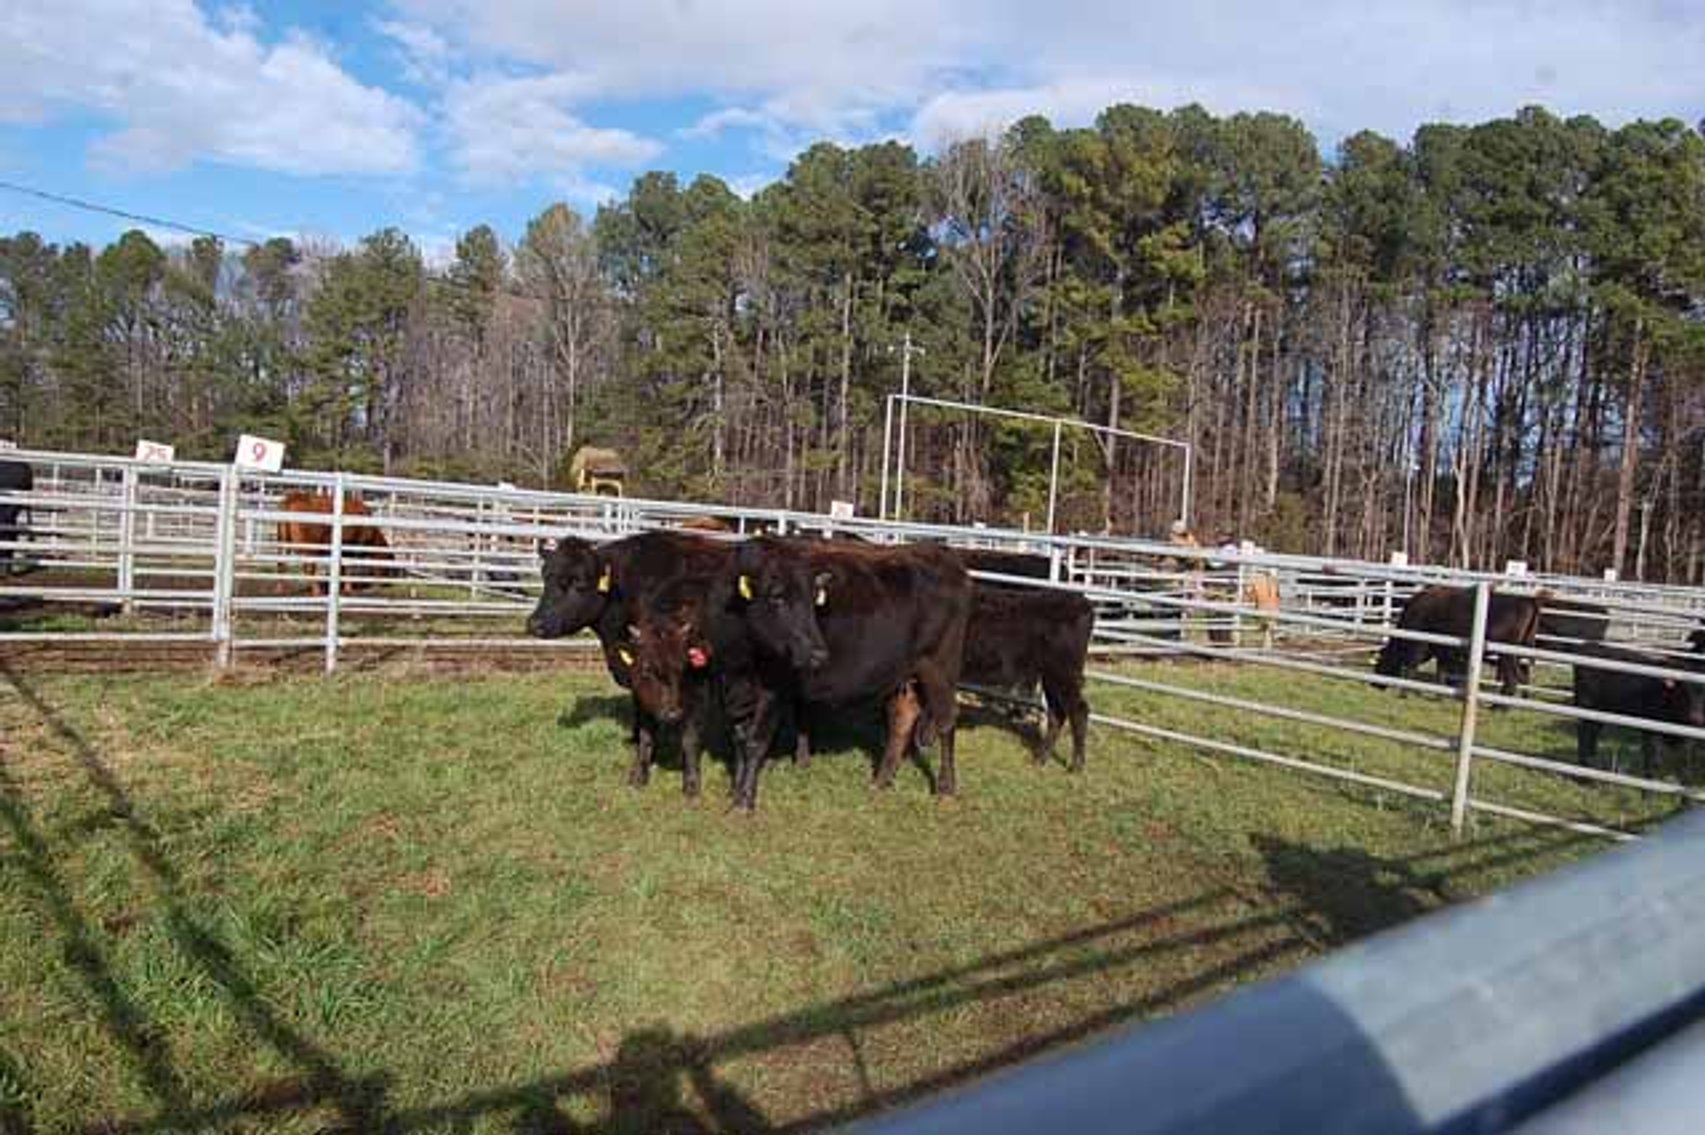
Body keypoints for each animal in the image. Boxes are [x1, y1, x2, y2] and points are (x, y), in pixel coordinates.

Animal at [526, 531, 733, 796]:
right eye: (546, 579)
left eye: (578, 583)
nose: (535, 624)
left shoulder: (698, 679)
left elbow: (690, 736)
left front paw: (691, 783)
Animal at [1373, 585, 1542, 697]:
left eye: (1382, 660)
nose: (1374, 684)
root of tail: (1528, 600)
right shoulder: (1443, 652)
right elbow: (1441, 672)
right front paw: (1440, 695)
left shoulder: (1419, 647)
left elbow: (1411, 667)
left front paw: (1404, 692)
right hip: (1521, 653)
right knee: (1524, 675)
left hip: (1507, 655)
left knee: (1512, 678)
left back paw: (1499, 707)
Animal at [1571, 642, 1705, 776]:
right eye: (1683, 692)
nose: (1697, 718)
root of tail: (1591, 645)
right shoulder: (1648, 725)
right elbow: (1649, 751)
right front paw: (1649, 775)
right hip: (1586, 704)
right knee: (1583, 731)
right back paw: (1583, 765)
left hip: (1601, 710)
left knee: (1593, 731)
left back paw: (1592, 760)